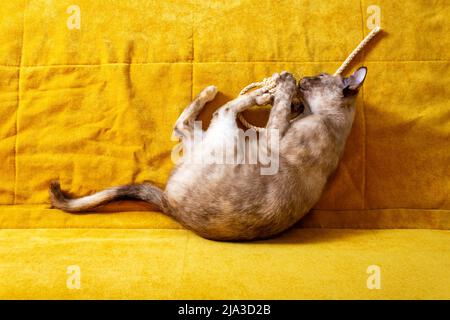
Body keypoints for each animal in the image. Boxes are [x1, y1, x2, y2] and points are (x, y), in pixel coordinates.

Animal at [49, 68, 368, 242]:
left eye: (320, 78)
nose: (304, 78)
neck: (328, 120)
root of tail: (169, 205)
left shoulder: (273, 138)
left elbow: (276, 113)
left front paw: (283, 88)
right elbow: (283, 110)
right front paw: (287, 97)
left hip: (228, 134)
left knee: (220, 110)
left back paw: (243, 94)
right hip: (209, 136)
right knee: (184, 124)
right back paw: (239, 93)